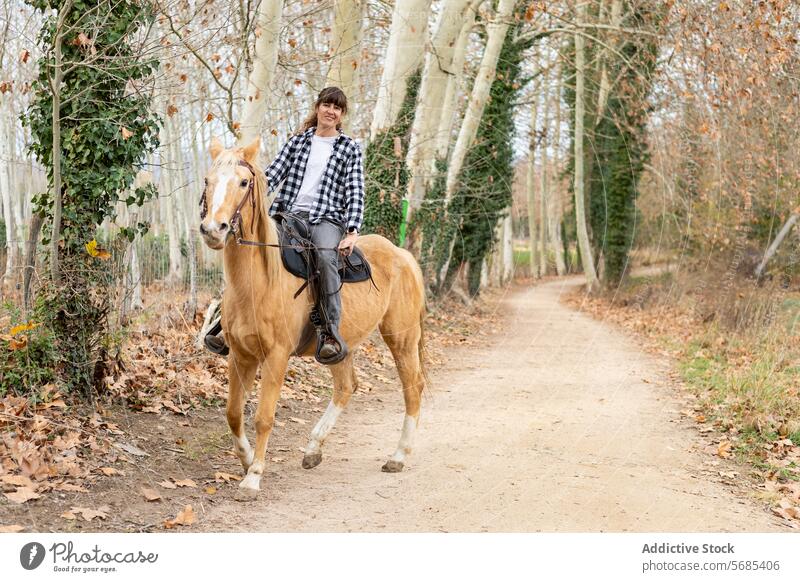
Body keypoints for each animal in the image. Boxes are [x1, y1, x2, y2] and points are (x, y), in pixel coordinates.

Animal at [198, 138, 428, 502]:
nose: (213, 230)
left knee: (412, 387)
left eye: (244, 183)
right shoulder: (240, 356)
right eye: (208, 181)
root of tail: (402, 255)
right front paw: (247, 460)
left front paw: (253, 478)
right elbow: (233, 413)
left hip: (402, 338)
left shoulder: (276, 357)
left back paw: (398, 456)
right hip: (338, 346)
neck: (259, 282)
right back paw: (313, 448)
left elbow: (264, 417)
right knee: (347, 386)